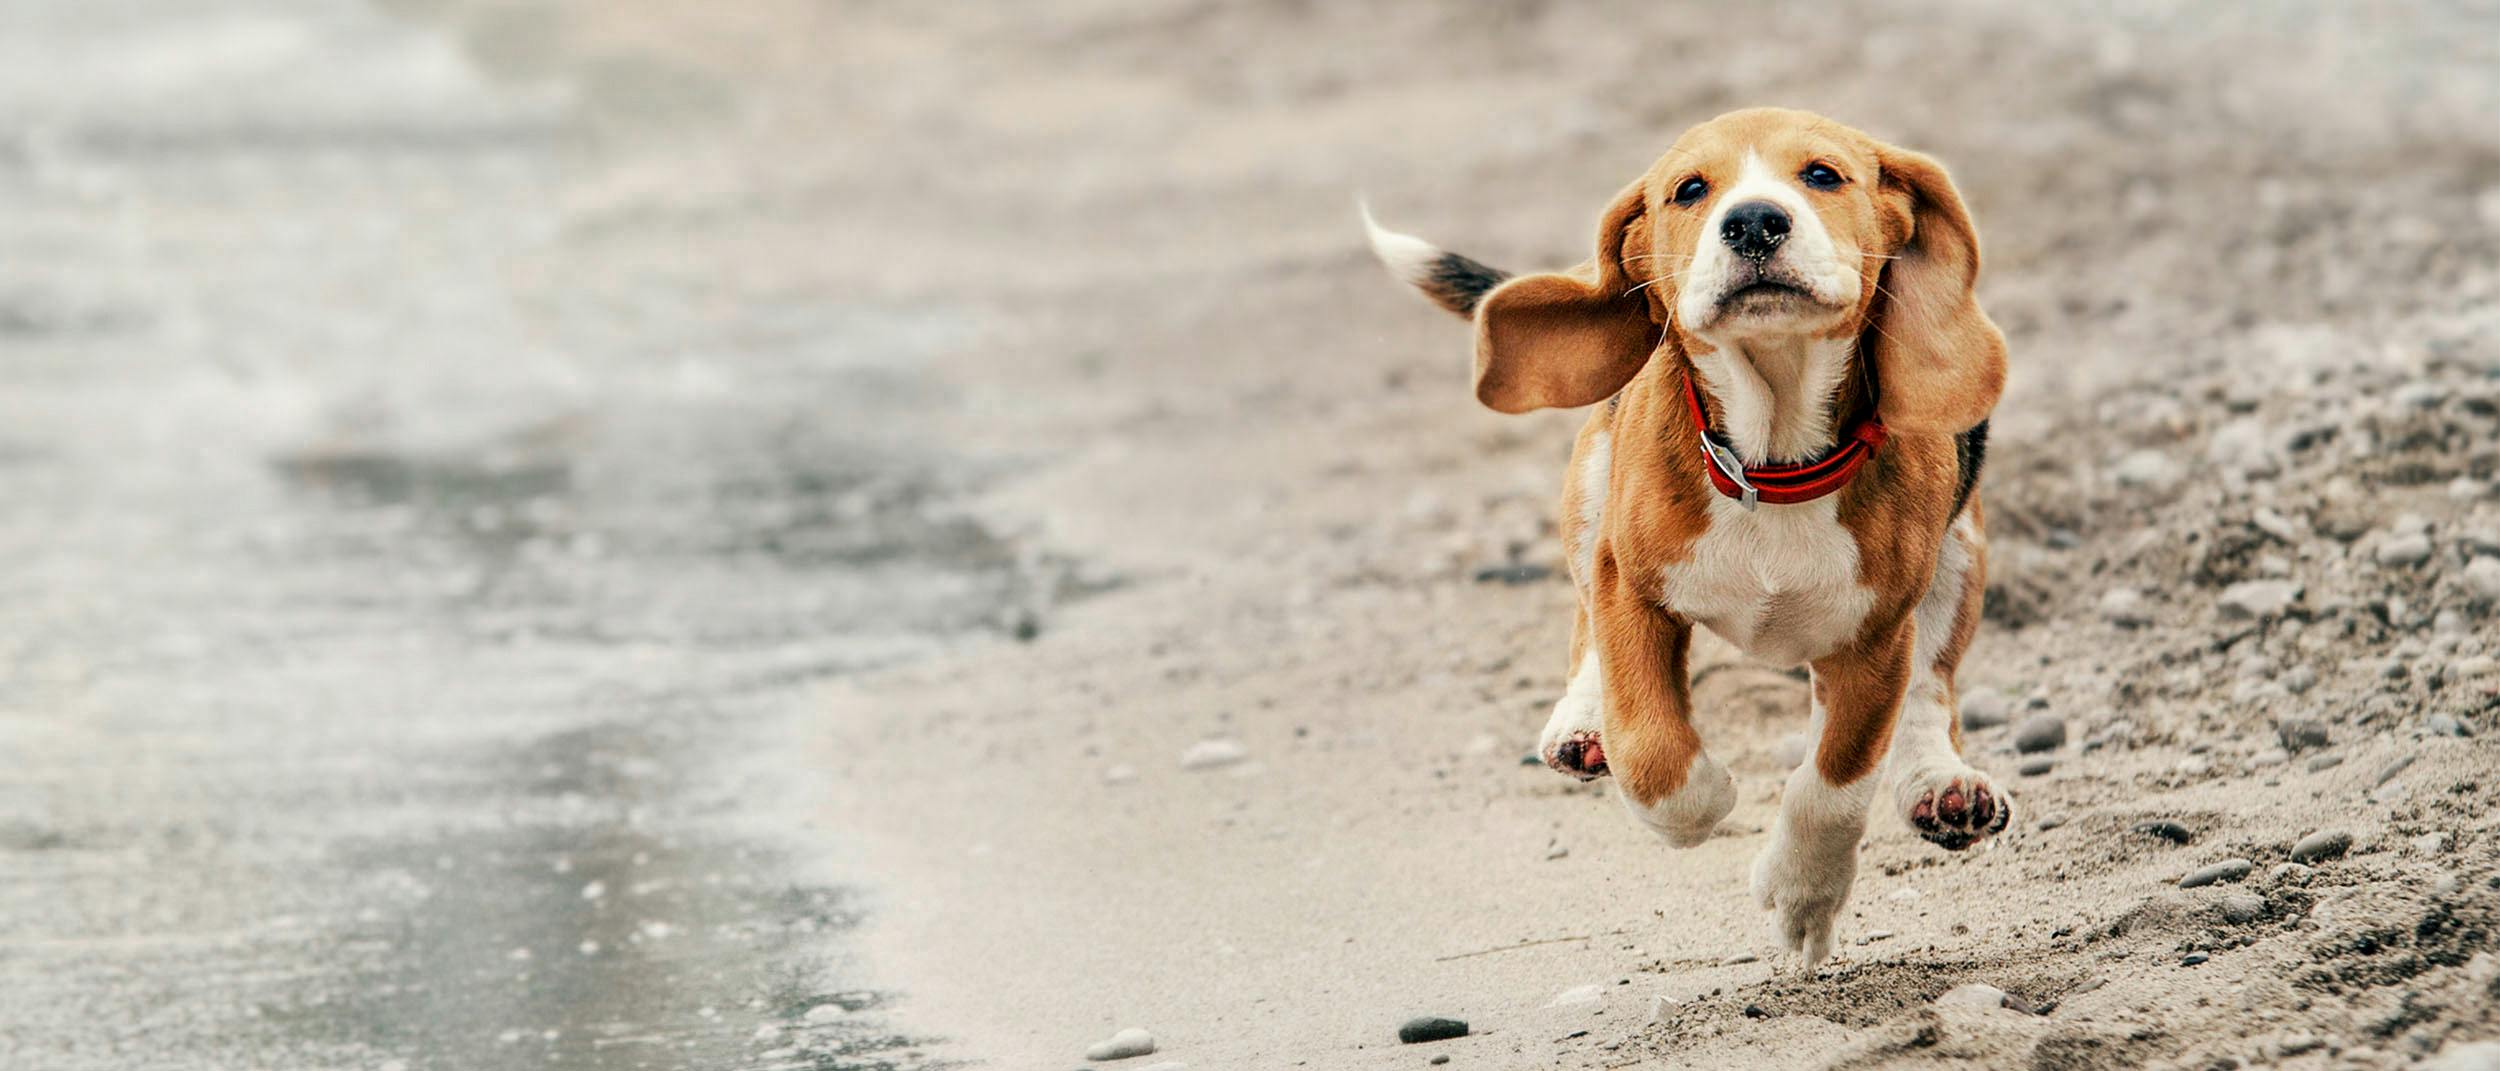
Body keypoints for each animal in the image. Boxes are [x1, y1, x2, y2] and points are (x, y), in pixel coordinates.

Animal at [1370, 106, 2010, 960]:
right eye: (1689, 190)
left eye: (1822, 174)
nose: (1754, 220)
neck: (1772, 458)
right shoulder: (1632, 585)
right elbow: (1651, 748)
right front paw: (1702, 799)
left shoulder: (1875, 639)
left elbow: (1836, 780)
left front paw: (1803, 897)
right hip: (1592, 488)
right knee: (1586, 629)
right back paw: (1582, 723)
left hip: (1960, 550)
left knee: (1933, 686)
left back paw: (1942, 785)